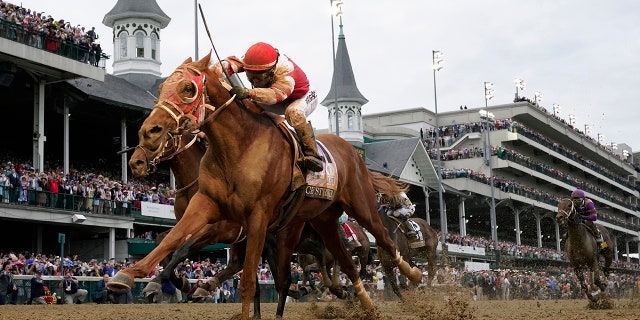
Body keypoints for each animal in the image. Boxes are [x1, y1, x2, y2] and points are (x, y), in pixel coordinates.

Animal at [110, 51, 420, 318]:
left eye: (188, 88)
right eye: (163, 87)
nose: (146, 137)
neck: (237, 149)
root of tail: (351, 150)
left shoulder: (250, 219)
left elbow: (245, 279)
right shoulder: (208, 206)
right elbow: (172, 240)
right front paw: (132, 275)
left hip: (360, 206)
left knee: (383, 242)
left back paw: (412, 276)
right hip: (322, 221)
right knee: (342, 264)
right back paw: (361, 302)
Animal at [370, 172, 440, 300]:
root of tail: (430, 227)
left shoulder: (403, 259)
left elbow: (405, 283)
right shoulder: (387, 266)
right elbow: (396, 287)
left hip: (430, 251)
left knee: (432, 269)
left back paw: (427, 287)